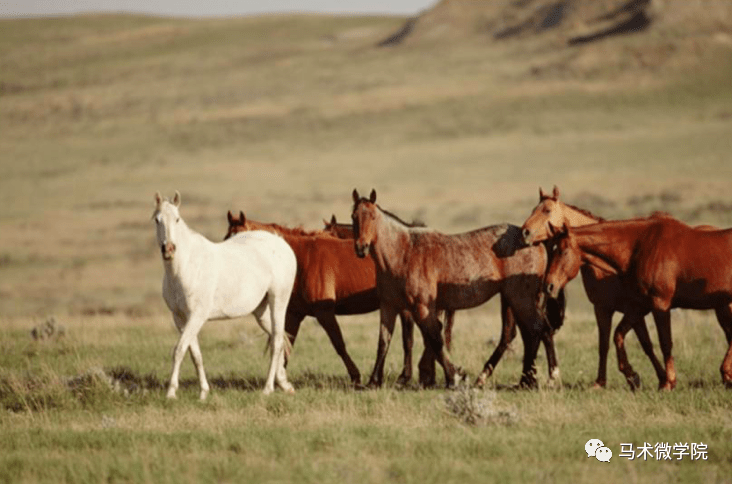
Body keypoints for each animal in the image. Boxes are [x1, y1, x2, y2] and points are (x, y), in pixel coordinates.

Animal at [152, 191, 298, 398]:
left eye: (177, 219)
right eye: (157, 220)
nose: (168, 249)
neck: (186, 266)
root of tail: (281, 243)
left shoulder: (197, 316)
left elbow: (179, 350)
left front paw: (171, 392)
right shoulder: (180, 318)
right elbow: (195, 354)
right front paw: (203, 392)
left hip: (278, 301)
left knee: (277, 341)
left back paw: (268, 388)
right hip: (260, 311)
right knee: (277, 339)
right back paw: (284, 383)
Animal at [224, 210, 418, 388]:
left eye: (240, 240)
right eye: (226, 239)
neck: (301, 259)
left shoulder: (324, 313)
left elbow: (339, 344)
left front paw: (355, 376)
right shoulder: (294, 315)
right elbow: (286, 345)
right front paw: (281, 380)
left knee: (405, 340)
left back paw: (400, 378)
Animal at [352, 187, 564, 388]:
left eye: (372, 217)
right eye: (354, 216)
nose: (361, 248)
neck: (404, 253)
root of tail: (534, 242)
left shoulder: (422, 307)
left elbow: (435, 341)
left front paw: (455, 376)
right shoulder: (389, 306)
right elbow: (383, 342)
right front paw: (373, 381)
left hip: (521, 299)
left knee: (538, 330)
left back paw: (546, 377)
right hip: (514, 299)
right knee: (528, 334)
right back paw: (525, 380)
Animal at [516, 186, 668, 390]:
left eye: (547, 210)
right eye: (534, 209)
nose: (524, 232)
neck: (607, 266)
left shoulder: (631, 310)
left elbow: (645, 344)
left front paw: (654, 377)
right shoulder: (604, 309)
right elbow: (605, 344)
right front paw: (604, 381)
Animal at [548, 218, 732, 390]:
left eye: (563, 252)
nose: (549, 285)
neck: (642, 247)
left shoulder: (660, 305)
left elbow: (665, 342)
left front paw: (668, 383)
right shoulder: (639, 307)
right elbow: (619, 335)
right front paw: (633, 376)